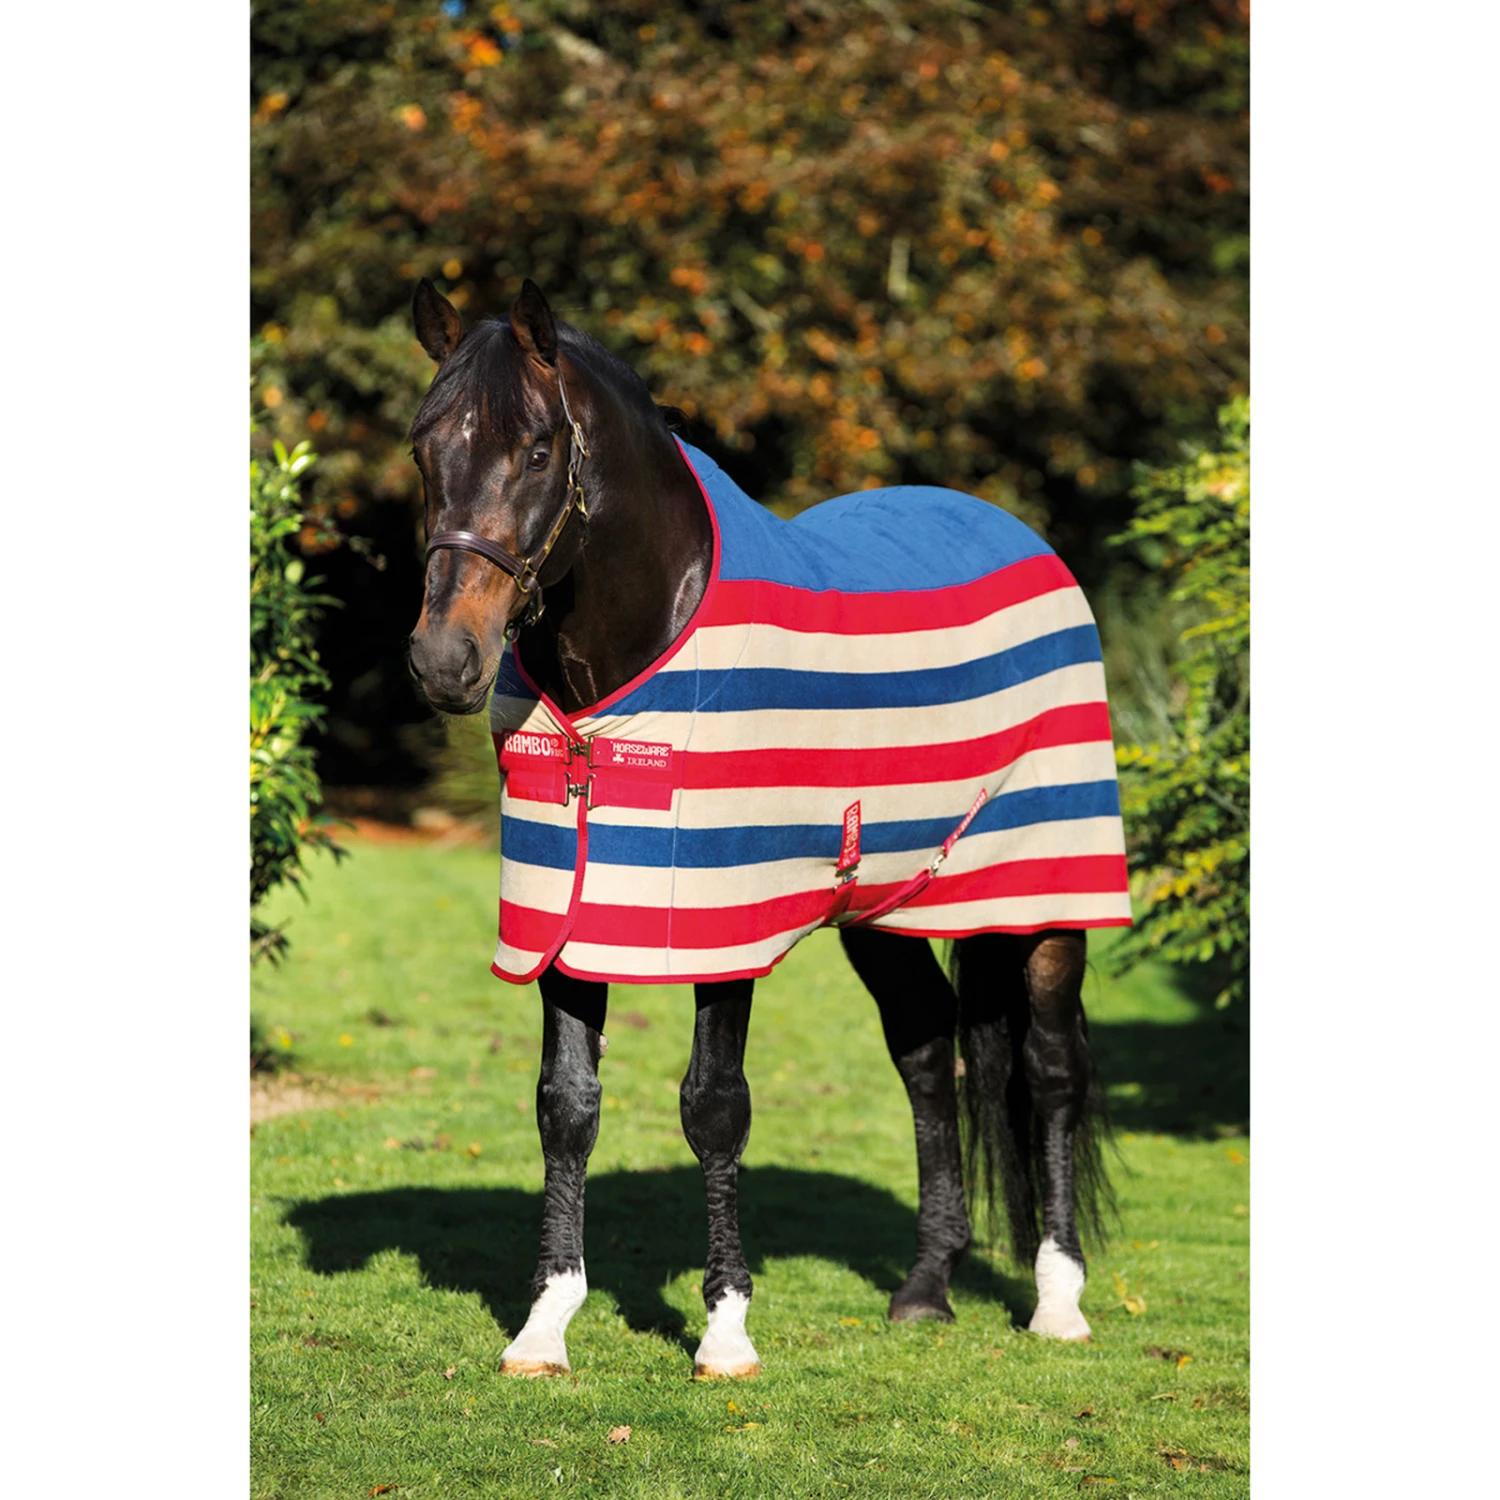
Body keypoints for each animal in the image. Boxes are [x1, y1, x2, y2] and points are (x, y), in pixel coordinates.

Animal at [404, 277, 1130, 1379]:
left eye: (535, 448)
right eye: (422, 448)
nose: (445, 660)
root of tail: (1023, 539)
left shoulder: (720, 925)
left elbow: (715, 1108)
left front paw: (725, 1331)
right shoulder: (566, 921)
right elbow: (566, 1106)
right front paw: (545, 1326)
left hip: (1049, 893)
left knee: (1050, 1074)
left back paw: (1058, 1301)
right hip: (887, 905)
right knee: (930, 1056)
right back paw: (927, 1286)